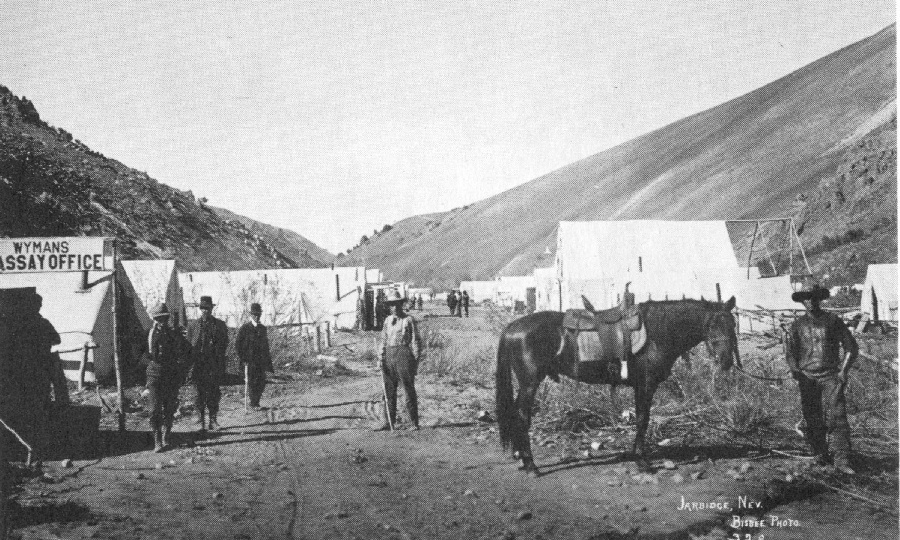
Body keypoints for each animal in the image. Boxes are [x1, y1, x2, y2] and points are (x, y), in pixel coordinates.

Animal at [492, 294, 740, 474]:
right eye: (711, 324)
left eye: (732, 324)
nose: (726, 360)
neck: (658, 331)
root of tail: (512, 328)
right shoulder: (645, 385)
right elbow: (642, 419)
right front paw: (642, 461)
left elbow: (641, 419)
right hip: (529, 383)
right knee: (522, 416)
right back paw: (531, 465)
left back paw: (523, 459)